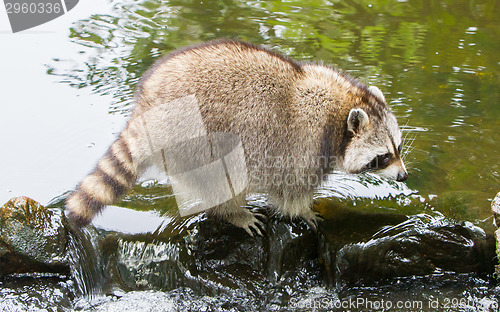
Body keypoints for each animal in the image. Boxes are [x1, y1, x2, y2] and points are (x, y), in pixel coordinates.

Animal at [65, 39, 406, 235]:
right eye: (383, 157)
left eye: (398, 148)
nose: (403, 176)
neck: (343, 106)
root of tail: (147, 108)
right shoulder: (305, 144)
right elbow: (291, 191)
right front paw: (304, 211)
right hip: (195, 138)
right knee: (223, 178)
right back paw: (232, 212)